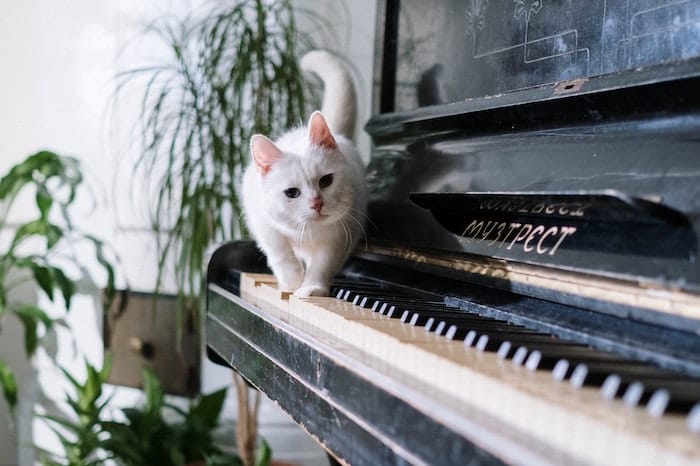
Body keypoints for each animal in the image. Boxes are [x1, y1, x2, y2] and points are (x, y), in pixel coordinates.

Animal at [242, 51, 366, 296]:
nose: (316, 203)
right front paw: (291, 280)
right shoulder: (262, 220)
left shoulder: (339, 238)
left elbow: (322, 265)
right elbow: (279, 250)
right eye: (291, 193)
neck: (310, 231)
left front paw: (311, 288)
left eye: (326, 181)